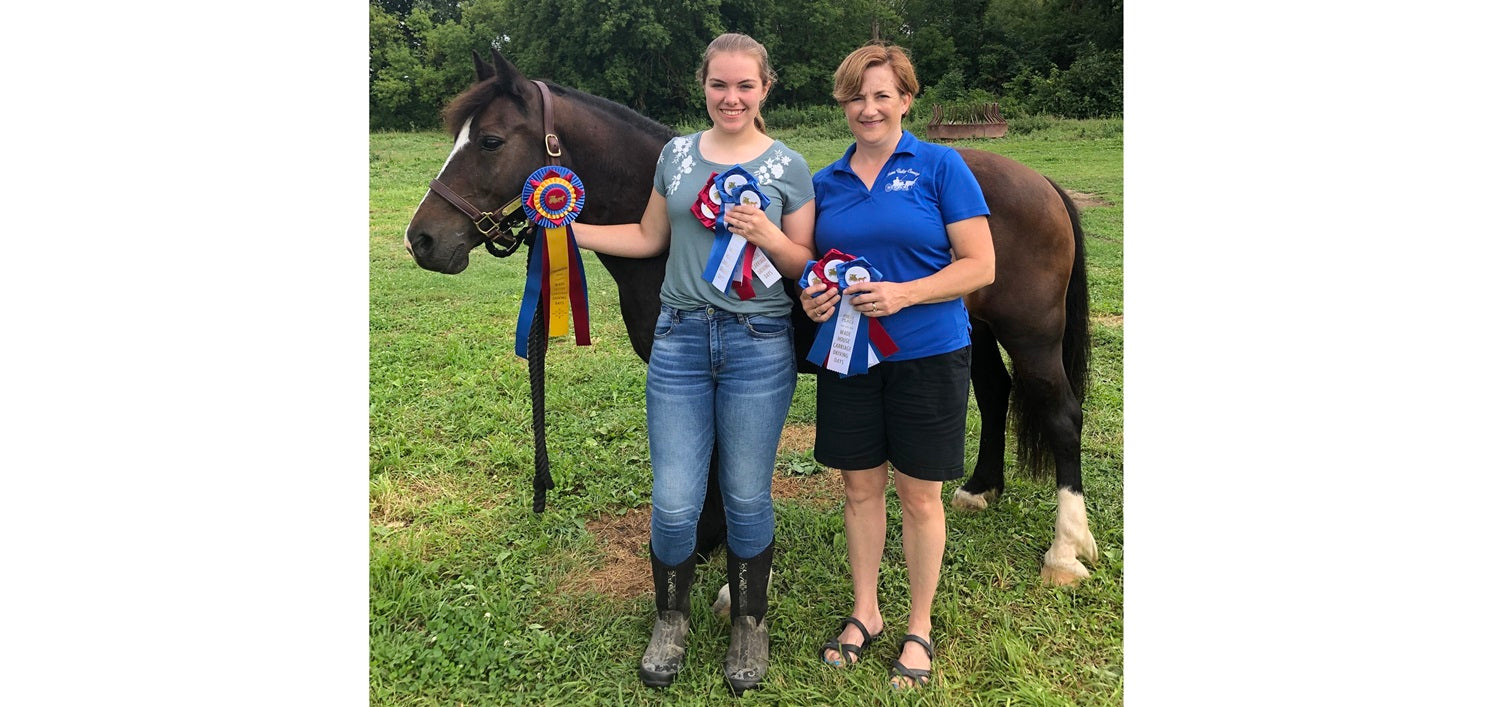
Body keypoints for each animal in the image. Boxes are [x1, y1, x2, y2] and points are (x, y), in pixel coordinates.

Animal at [401, 48, 1100, 580]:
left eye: (490, 140)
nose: (423, 241)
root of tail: (1041, 184)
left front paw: (709, 543)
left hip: (1032, 337)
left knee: (1062, 416)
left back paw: (1066, 551)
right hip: (976, 331)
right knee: (995, 391)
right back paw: (979, 491)